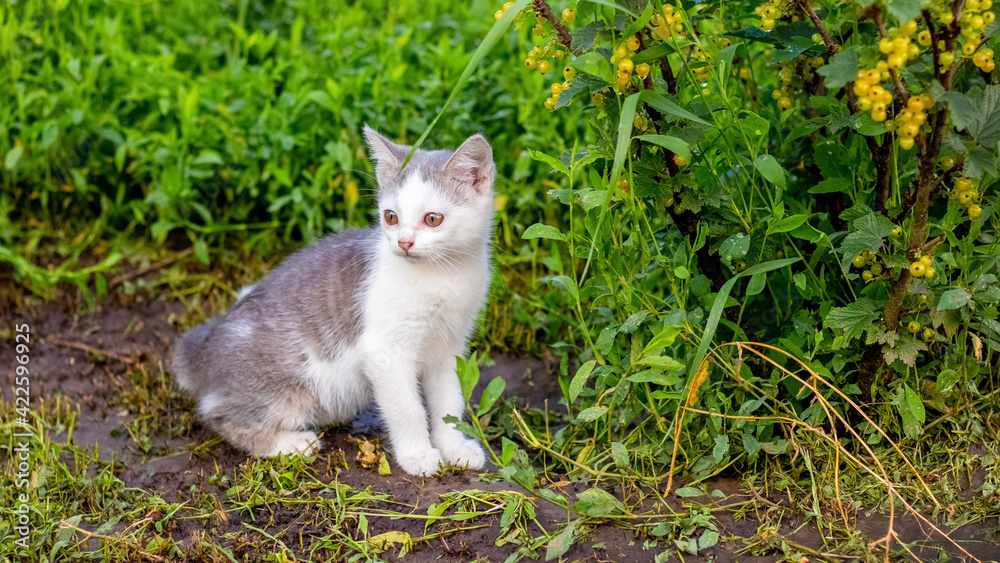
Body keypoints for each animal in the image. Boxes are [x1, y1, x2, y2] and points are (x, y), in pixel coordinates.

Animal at [177, 128, 500, 476]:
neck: (441, 276)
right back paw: (292, 443)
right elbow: (407, 408)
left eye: (433, 219)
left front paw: (455, 447)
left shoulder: (449, 348)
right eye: (390, 216)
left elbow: (449, 400)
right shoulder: (385, 352)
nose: (404, 242)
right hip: (285, 388)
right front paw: (418, 456)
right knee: (219, 413)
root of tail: (203, 352)